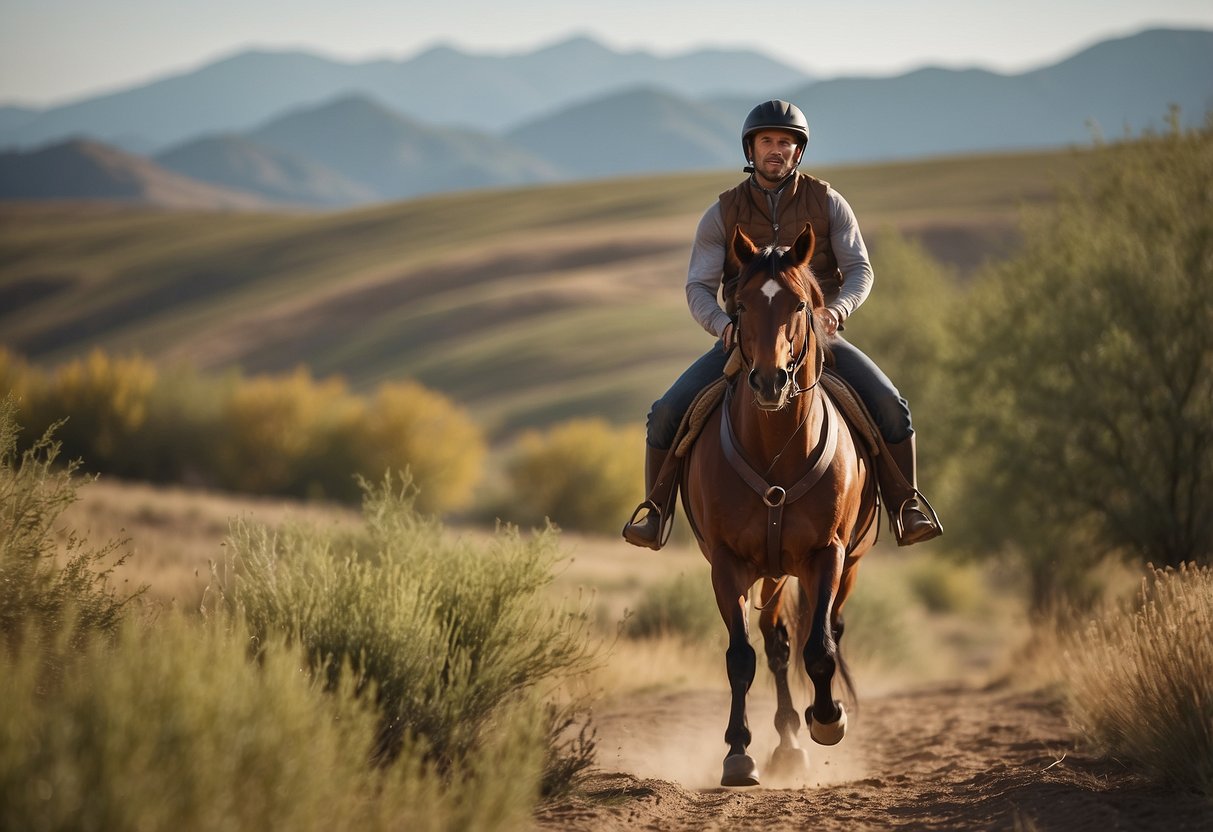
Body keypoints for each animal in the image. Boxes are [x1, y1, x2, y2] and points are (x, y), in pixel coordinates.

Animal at [679, 221, 878, 790]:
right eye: (741, 304)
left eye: (799, 303)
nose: (770, 381)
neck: (775, 450)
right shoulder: (727, 563)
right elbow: (741, 657)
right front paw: (737, 752)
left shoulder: (827, 554)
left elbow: (820, 647)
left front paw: (828, 719)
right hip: (767, 571)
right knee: (775, 642)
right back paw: (786, 739)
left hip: (845, 562)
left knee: (821, 630)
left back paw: (805, 727)